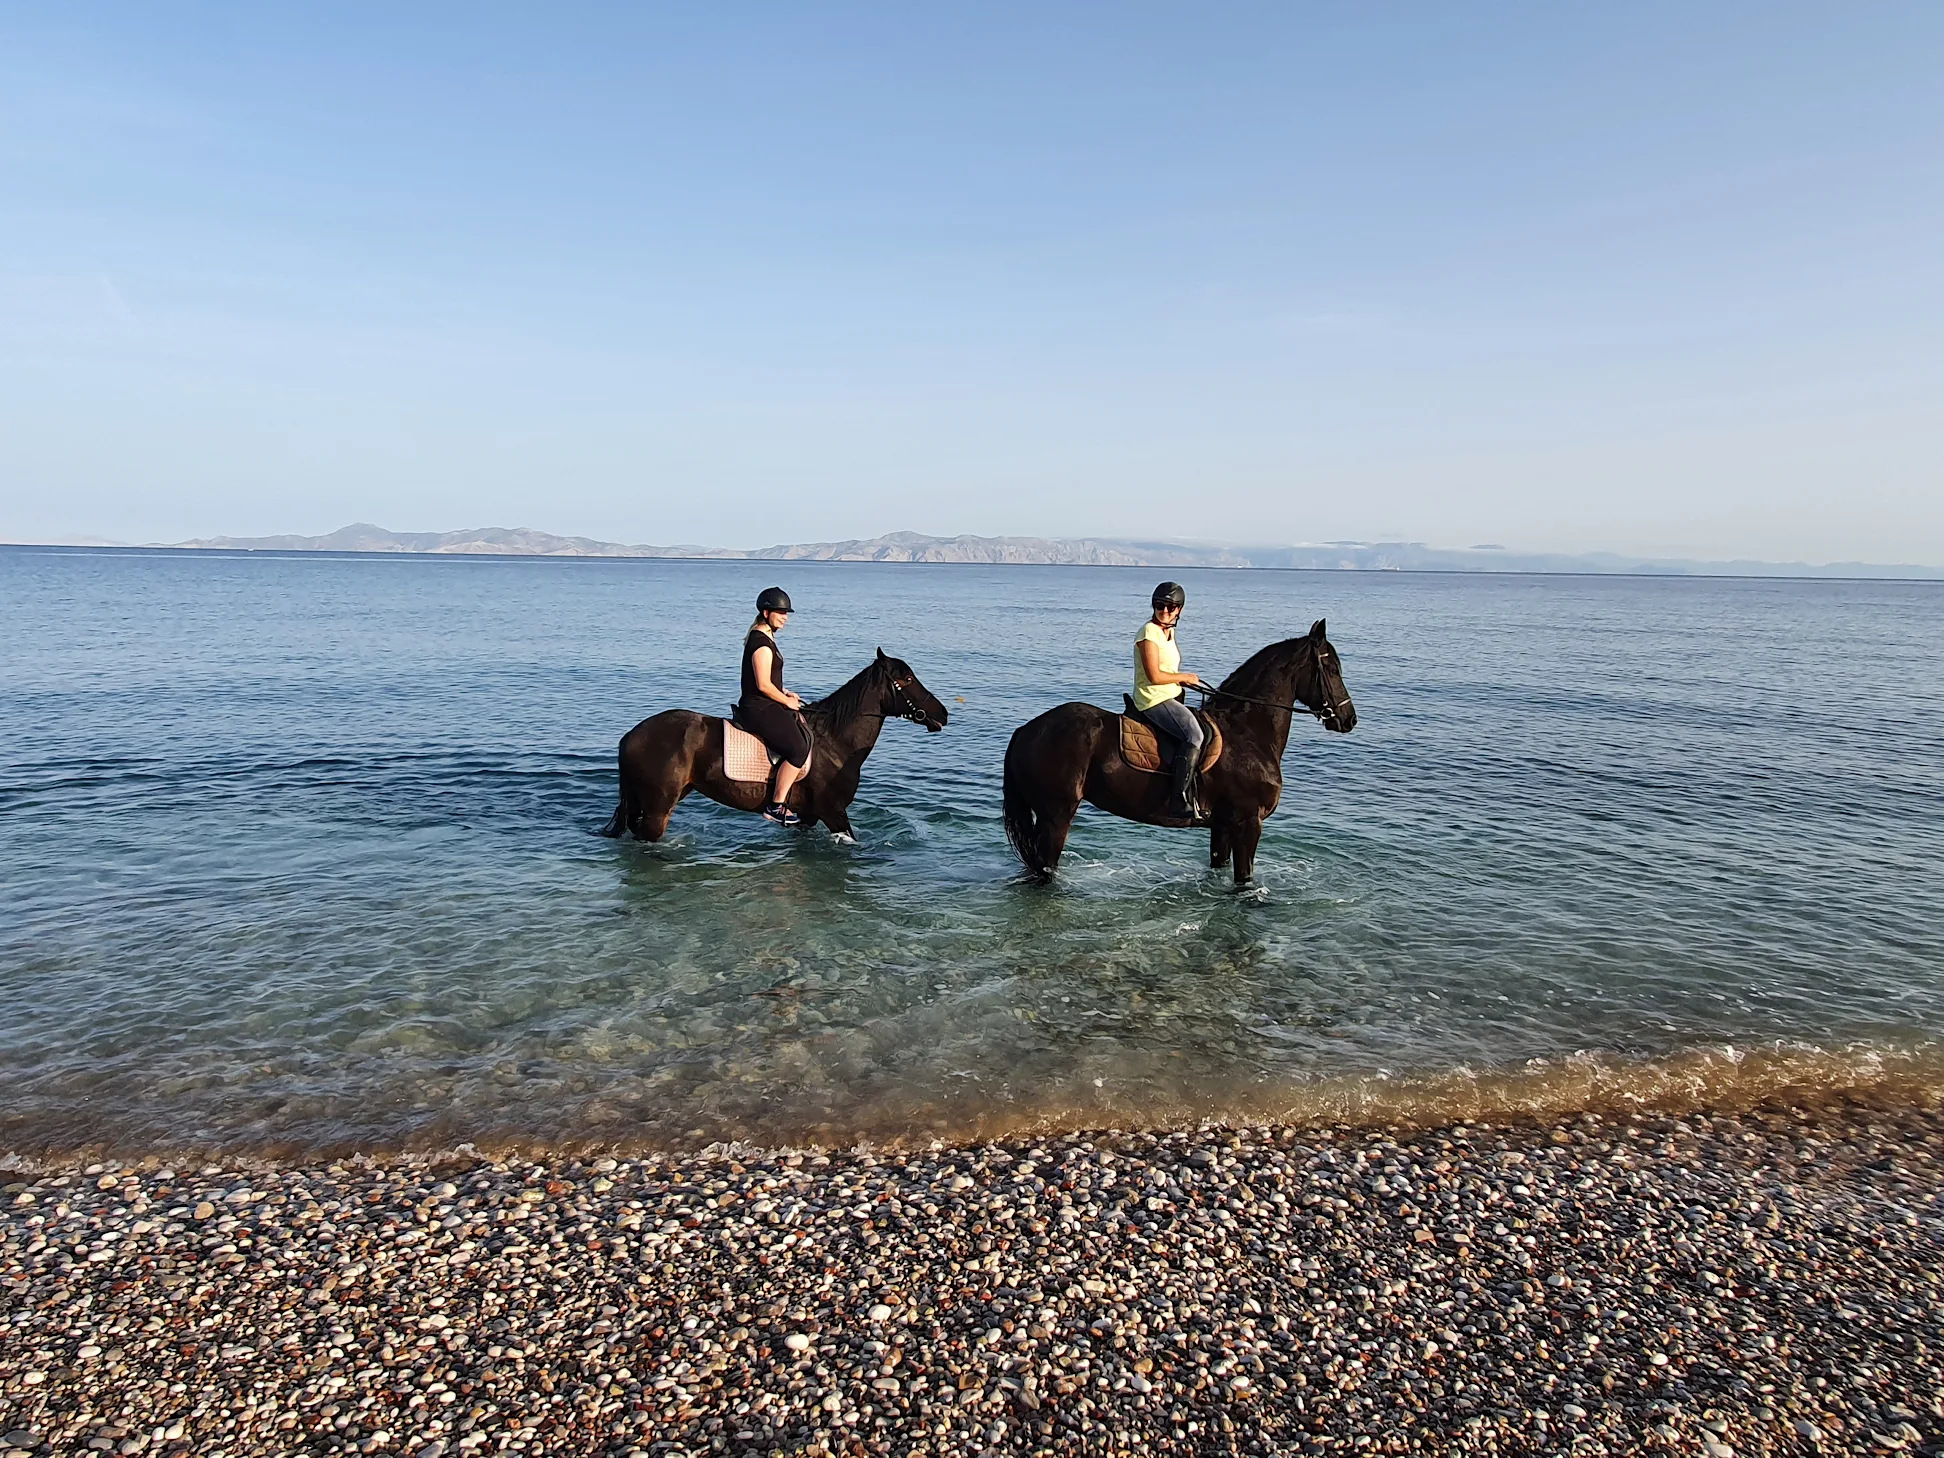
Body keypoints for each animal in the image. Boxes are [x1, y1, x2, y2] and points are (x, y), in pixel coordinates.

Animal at [599, 649, 949, 842]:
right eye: (906, 680)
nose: (942, 713)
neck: (835, 741)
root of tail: (631, 736)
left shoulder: (809, 815)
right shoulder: (834, 812)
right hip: (658, 809)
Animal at [1001, 619, 1355, 886]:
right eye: (1333, 669)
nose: (1349, 719)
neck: (1246, 733)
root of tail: (1027, 729)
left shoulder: (1223, 826)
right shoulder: (1248, 823)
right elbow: (1245, 881)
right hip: (1055, 816)